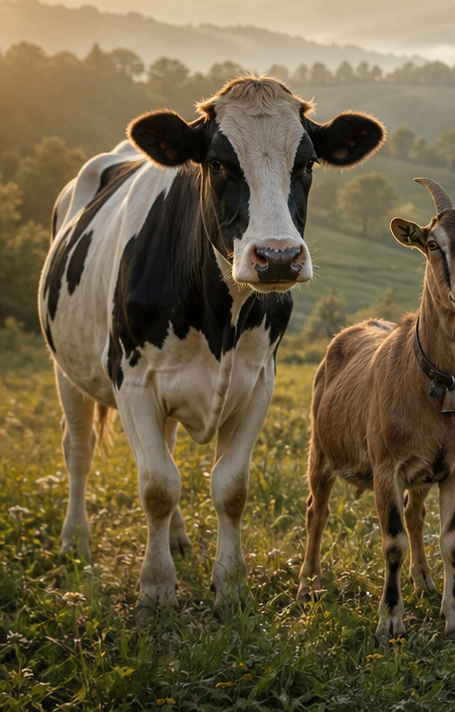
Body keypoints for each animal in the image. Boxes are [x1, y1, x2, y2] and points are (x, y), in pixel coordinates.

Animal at [38, 76, 385, 618]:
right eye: (218, 163)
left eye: (307, 164)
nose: (278, 257)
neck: (219, 318)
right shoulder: (132, 381)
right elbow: (157, 486)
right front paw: (156, 589)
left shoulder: (258, 381)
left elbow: (230, 488)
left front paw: (232, 584)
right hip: (66, 368)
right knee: (79, 450)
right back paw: (75, 540)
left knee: (166, 448)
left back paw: (177, 539)